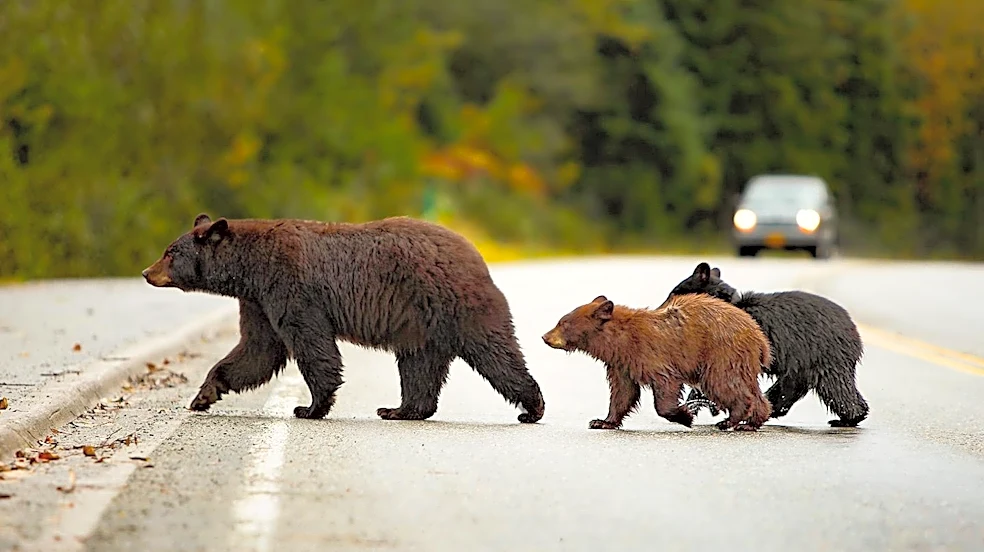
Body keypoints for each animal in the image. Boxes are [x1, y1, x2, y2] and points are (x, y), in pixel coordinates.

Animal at [141, 213, 545, 424]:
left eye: (170, 252)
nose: (146, 272)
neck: (250, 268)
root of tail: (475, 254)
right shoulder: (257, 301)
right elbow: (258, 349)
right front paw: (203, 395)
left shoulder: (289, 287)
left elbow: (310, 345)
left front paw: (309, 407)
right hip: (421, 325)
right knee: (419, 366)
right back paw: (399, 409)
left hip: (456, 304)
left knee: (496, 353)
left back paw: (532, 407)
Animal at [541, 294, 772, 431]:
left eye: (563, 322)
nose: (545, 337)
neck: (619, 340)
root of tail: (759, 337)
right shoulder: (622, 363)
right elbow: (622, 392)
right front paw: (602, 421)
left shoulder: (649, 354)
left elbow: (665, 384)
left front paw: (685, 416)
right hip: (741, 361)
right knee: (750, 389)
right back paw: (752, 422)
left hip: (721, 354)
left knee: (723, 383)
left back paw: (729, 420)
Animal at [664, 262, 868, 427]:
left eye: (674, 292)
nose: (663, 308)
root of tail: (854, 331)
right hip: (802, 365)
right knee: (789, 388)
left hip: (824, 356)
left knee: (834, 387)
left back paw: (848, 418)